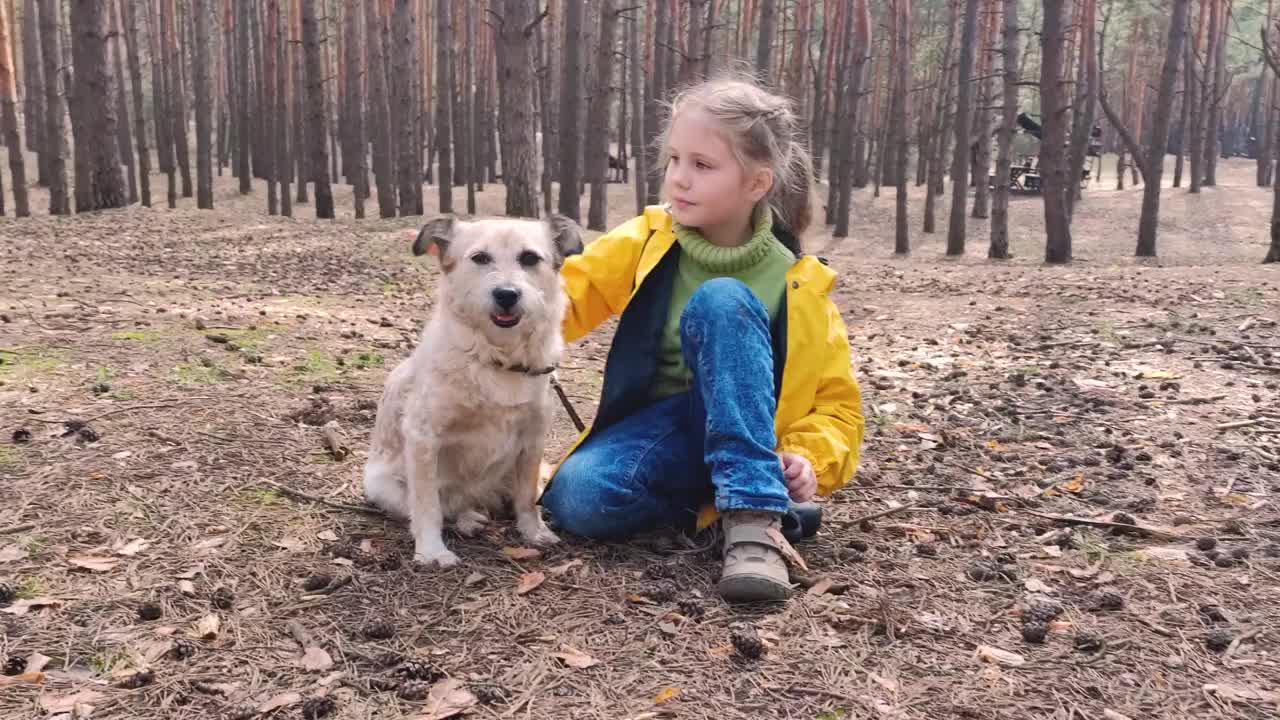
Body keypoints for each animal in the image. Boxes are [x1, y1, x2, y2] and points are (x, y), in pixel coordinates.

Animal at [360, 212, 581, 566]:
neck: (496, 358)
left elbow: (526, 498)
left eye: (529, 258)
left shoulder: (533, 438)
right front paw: (431, 550)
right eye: (480, 258)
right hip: (386, 487)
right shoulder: (423, 437)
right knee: (446, 505)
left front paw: (533, 532)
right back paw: (467, 520)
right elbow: (428, 506)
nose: (506, 294)